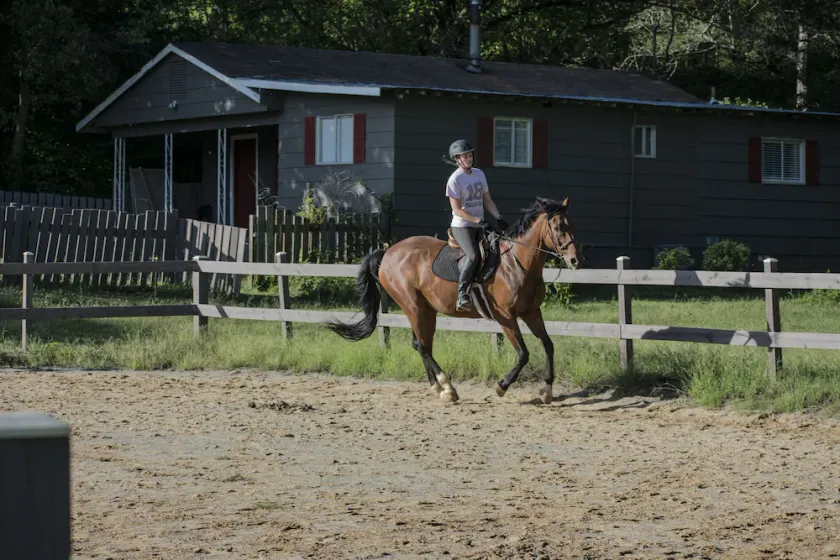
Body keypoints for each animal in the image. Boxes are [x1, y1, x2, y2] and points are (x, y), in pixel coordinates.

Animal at [325, 196, 581, 404]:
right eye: (557, 227)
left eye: (571, 225)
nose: (575, 260)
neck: (516, 263)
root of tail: (388, 252)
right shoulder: (506, 317)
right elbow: (523, 353)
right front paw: (501, 386)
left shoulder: (532, 312)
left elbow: (548, 345)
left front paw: (547, 390)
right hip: (413, 306)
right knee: (422, 346)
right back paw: (447, 389)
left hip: (426, 310)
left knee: (421, 344)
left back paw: (439, 388)